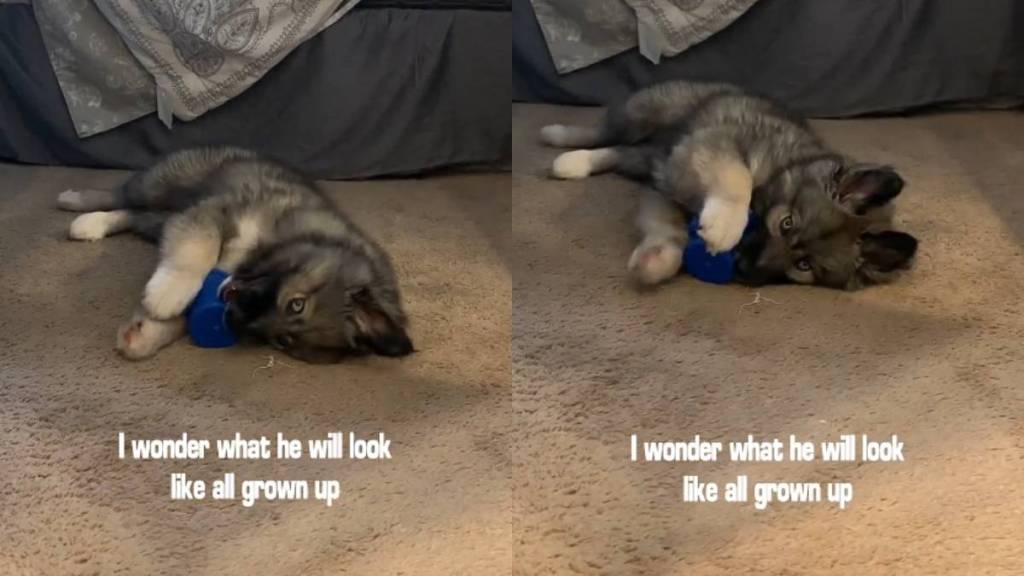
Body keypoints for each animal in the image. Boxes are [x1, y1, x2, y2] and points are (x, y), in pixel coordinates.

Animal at [57, 147, 414, 363]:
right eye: (297, 304)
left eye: (282, 342)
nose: (233, 319)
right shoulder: (218, 211)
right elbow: (197, 249)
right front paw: (166, 295)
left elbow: (187, 313)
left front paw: (146, 332)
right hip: (164, 183)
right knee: (121, 193)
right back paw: (75, 201)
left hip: (160, 216)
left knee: (133, 214)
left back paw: (92, 224)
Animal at [540, 80, 918, 290]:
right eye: (786, 223)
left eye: (804, 266)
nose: (745, 269)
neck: (784, 167)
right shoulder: (712, 145)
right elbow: (737, 176)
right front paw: (724, 225)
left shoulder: (664, 186)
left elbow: (667, 230)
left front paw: (657, 258)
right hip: (645, 112)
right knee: (603, 131)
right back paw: (559, 137)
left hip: (649, 156)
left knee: (621, 152)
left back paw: (573, 162)